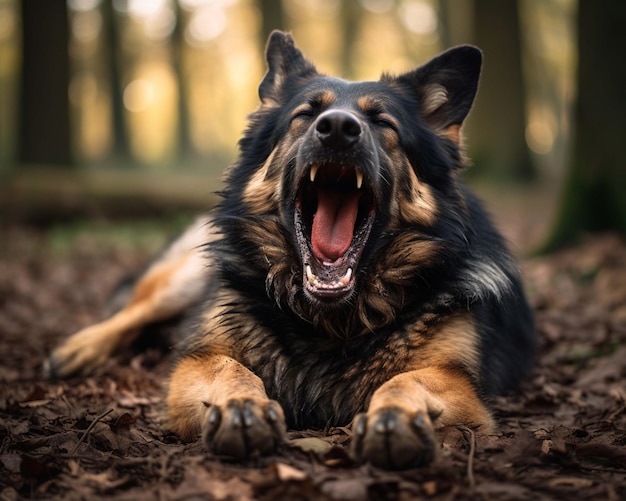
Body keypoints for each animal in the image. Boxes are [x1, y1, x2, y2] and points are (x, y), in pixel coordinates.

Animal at [45, 31, 532, 468]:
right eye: (306, 114)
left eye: (382, 123)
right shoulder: (196, 365)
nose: (337, 128)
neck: (330, 319)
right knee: (133, 311)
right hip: (185, 277)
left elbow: (405, 382)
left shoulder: (458, 385)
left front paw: (395, 417)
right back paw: (77, 349)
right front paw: (241, 407)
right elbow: (231, 370)